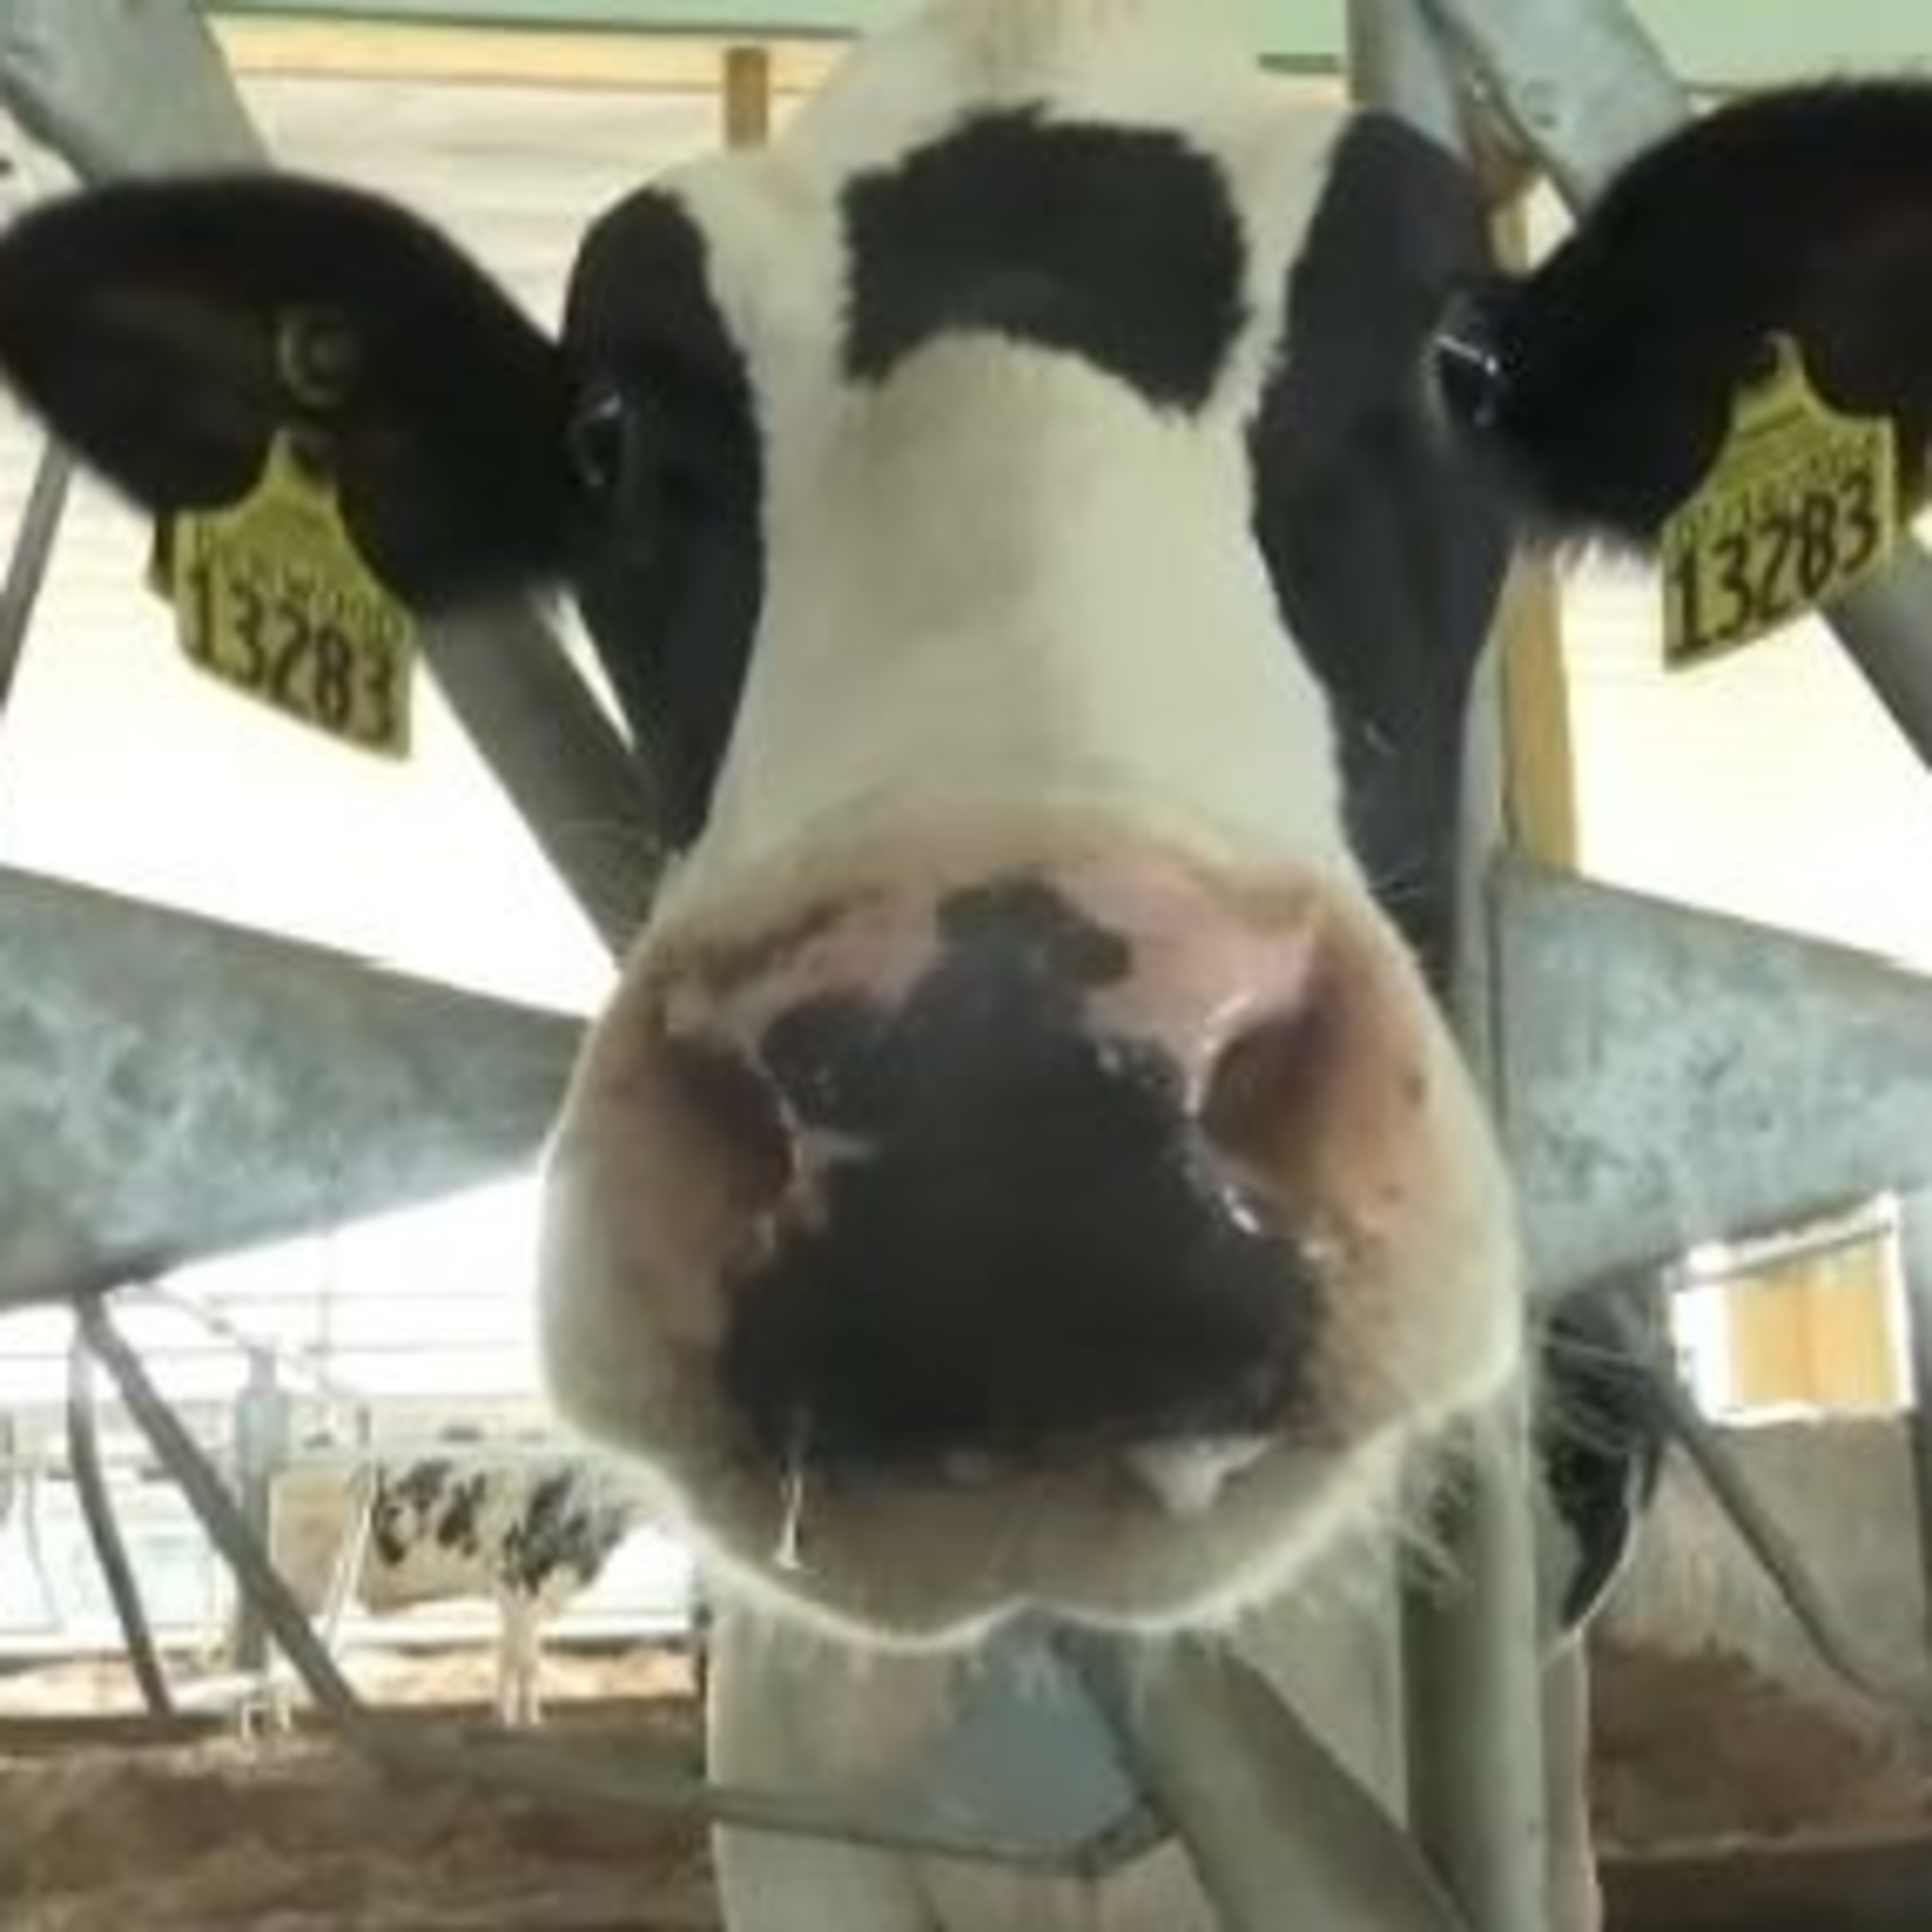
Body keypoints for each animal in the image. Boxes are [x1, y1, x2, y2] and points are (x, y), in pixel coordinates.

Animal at [268, 1442, 643, 1727]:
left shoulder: (522, 1598)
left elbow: (508, 1657)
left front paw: (503, 1719)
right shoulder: (516, 1586)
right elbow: (526, 1661)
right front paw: (532, 1723)